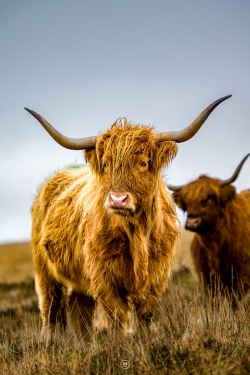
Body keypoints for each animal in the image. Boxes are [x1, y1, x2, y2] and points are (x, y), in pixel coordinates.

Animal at [24, 95, 230, 342]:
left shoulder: (157, 274)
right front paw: (117, 346)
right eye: (106, 164)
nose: (118, 200)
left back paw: (84, 342)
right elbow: (117, 315)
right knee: (51, 306)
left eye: (143, 163)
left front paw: (146, 341)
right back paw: (50, 341)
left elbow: (144, 313)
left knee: (78, 304)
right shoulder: (103, 275)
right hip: (43, 269)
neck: (137, 232)